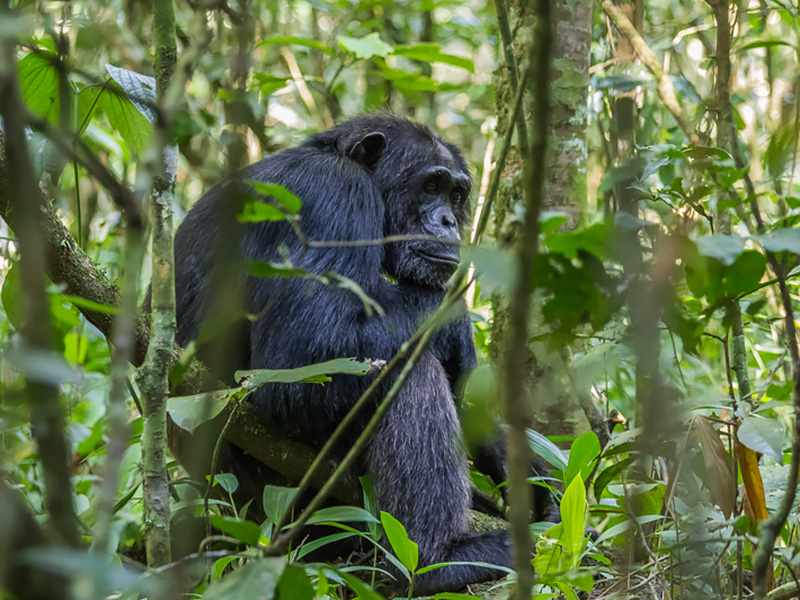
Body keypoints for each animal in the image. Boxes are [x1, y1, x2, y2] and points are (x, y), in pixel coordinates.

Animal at [166, 115, 556, 592]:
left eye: (456, 194)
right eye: (431, 186)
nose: (448, 220)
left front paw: (533, 479)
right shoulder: (332, 199)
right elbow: (301, 356)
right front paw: (454, 323)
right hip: (277, 497)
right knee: (411, 372)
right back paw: (438, 558)